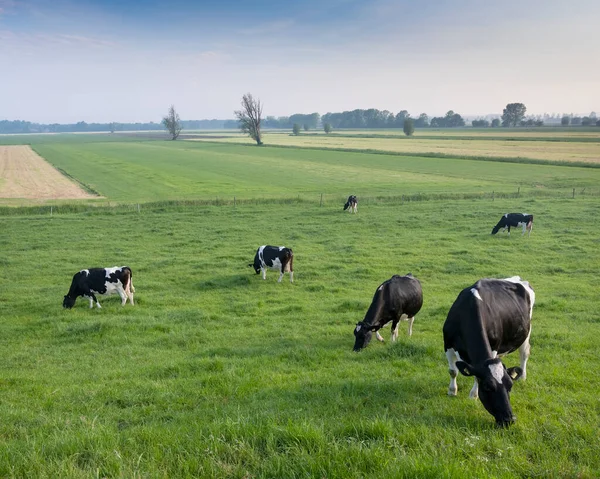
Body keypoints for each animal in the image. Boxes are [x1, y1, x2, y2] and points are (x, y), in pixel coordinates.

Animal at [442, 276, 536, 430]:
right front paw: (452, 391)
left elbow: (475, 376)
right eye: (487, 387)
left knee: (524, 354)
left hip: (526, 332)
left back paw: (522, 376)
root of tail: (518, 279)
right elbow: (453, 371)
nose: (509, 419)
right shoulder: (448, 345)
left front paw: (473, 395)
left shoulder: (493, 349)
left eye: (510, 386)